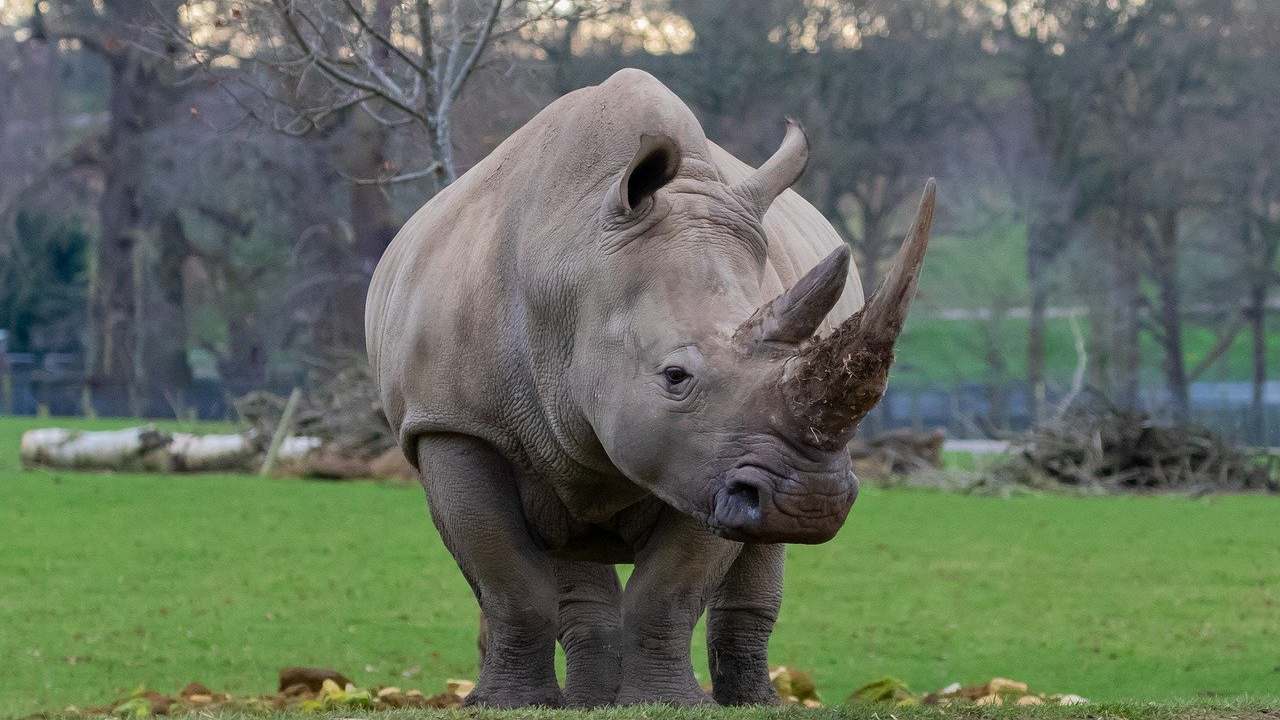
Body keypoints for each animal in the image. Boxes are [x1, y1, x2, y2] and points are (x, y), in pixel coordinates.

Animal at [365, 68, 935, 708]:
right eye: (675, 376)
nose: (811, 503)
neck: (572, 271)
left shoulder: (707, 458)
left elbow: (669, 590)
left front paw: (667, 703)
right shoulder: (453, 423)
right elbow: (508, 576)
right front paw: (507, 705)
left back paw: (750, 703)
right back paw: (586, 702)